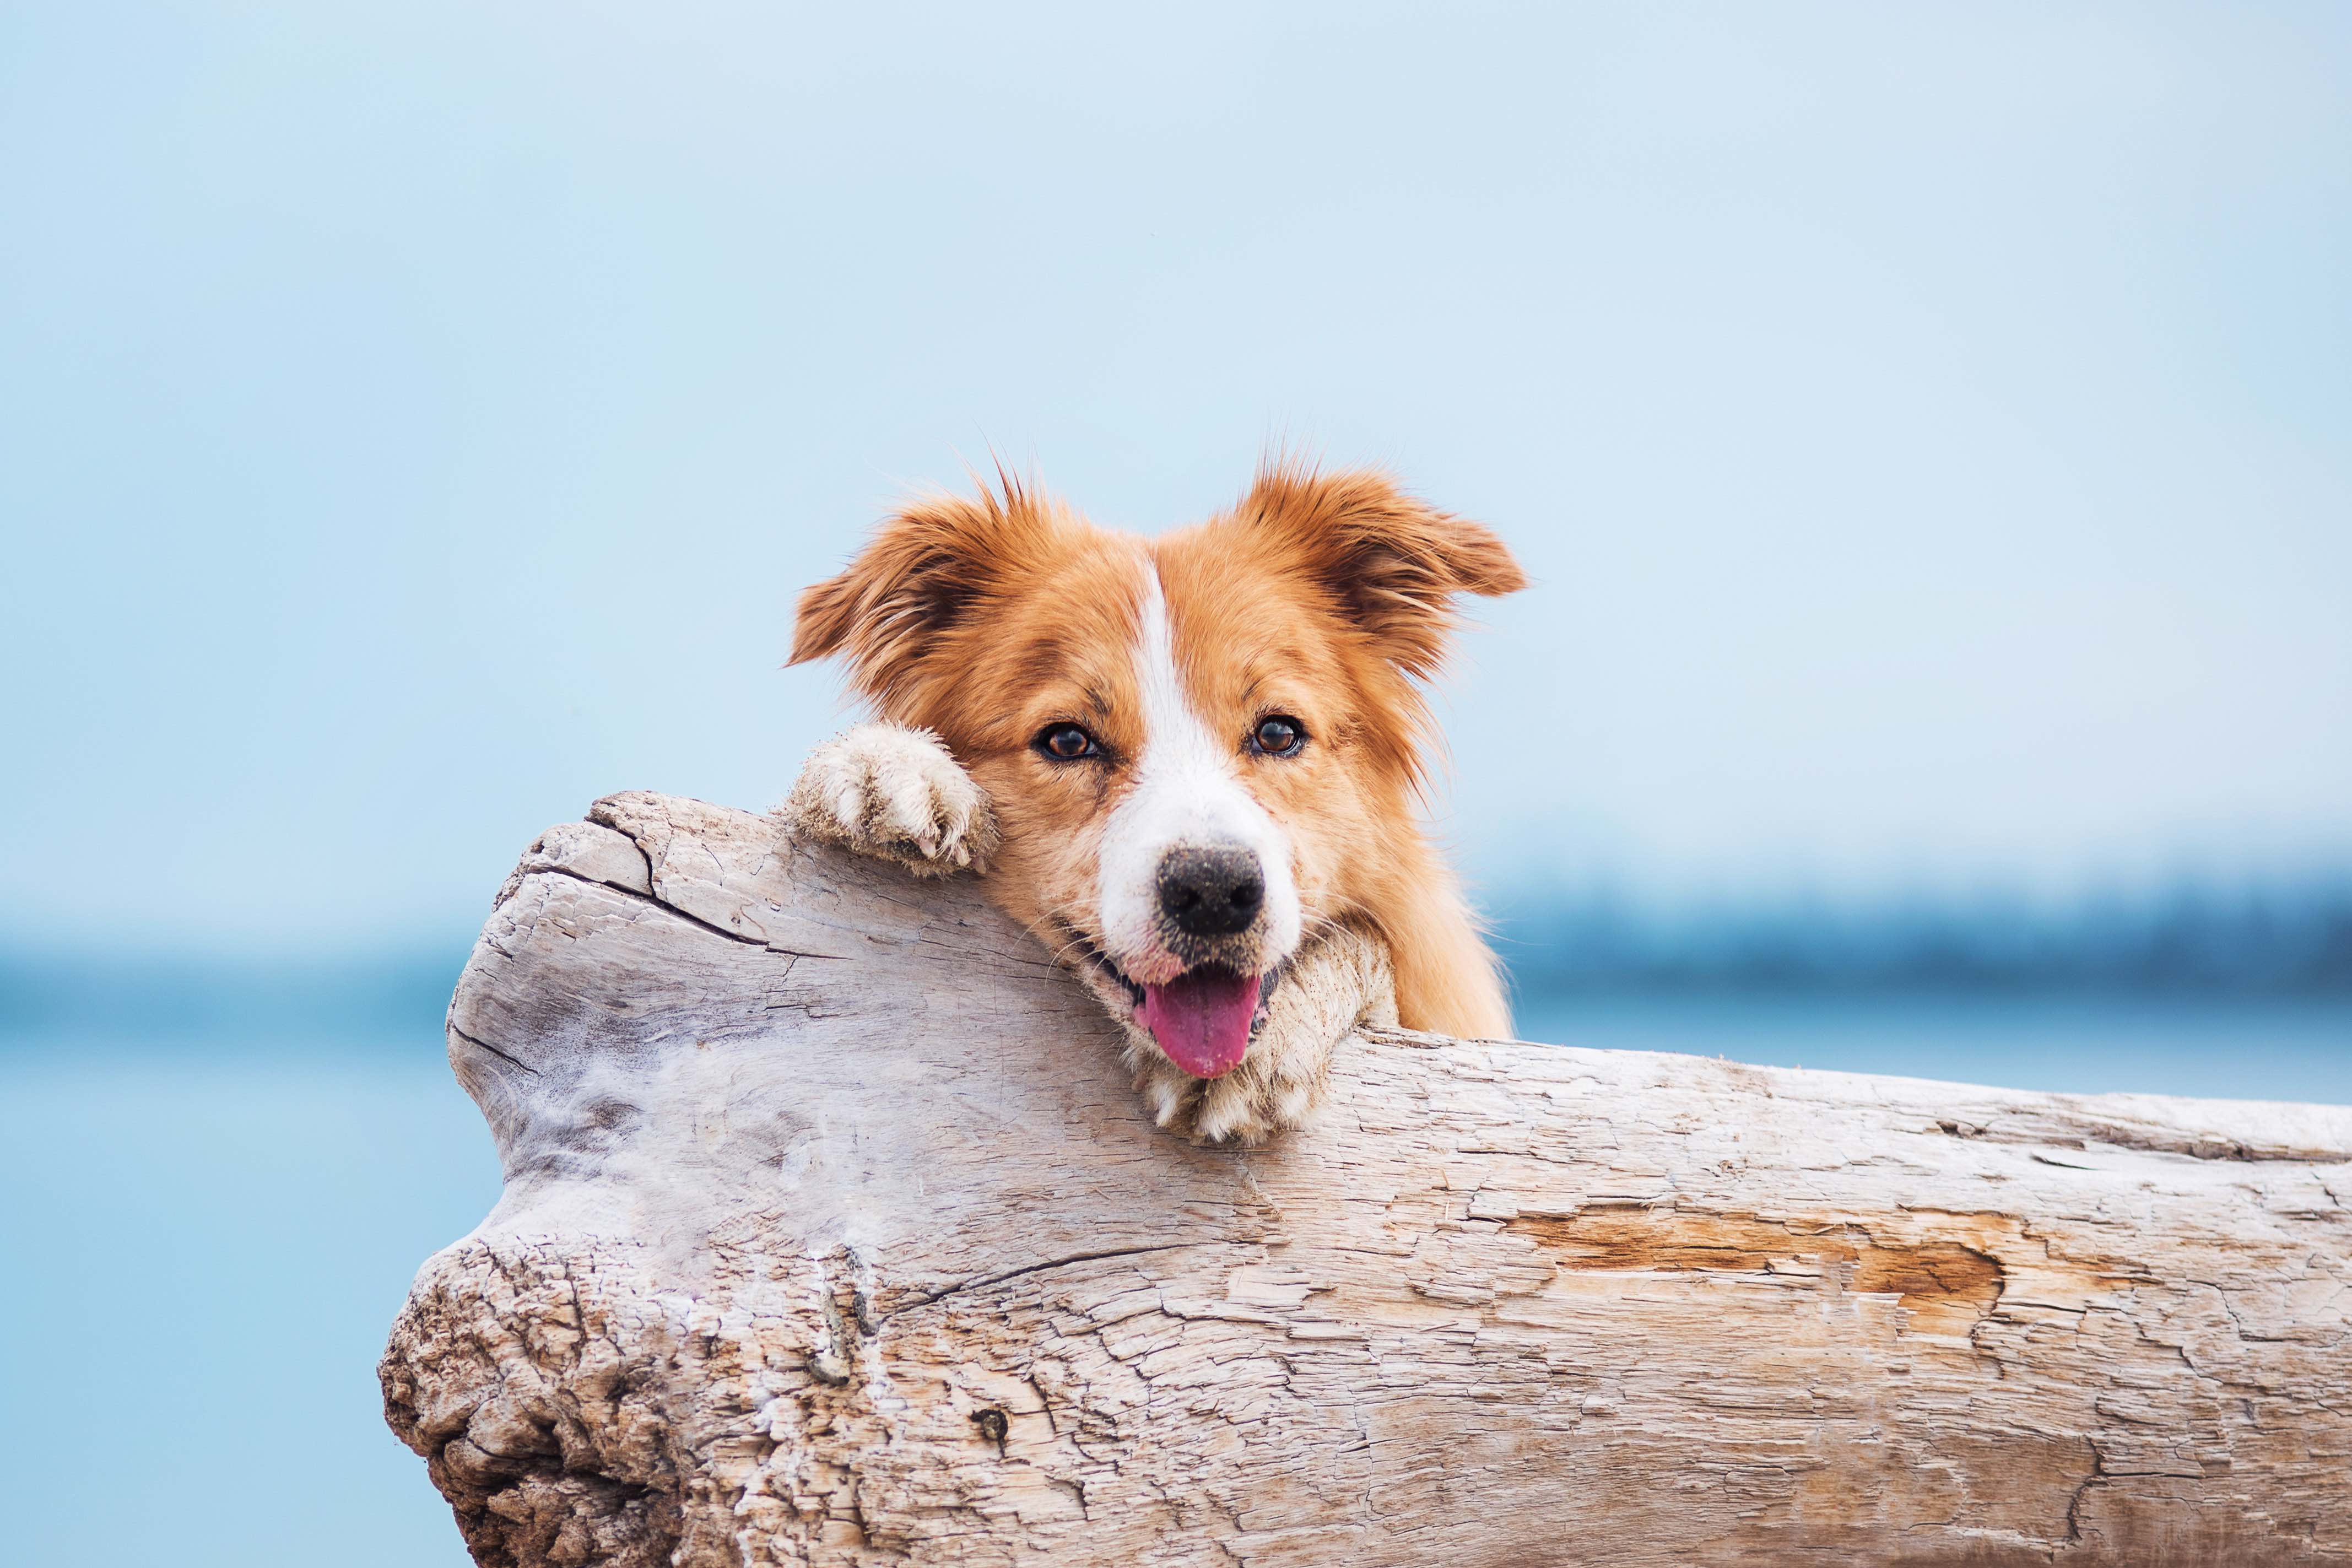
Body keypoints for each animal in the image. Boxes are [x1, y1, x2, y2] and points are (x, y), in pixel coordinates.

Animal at [781, 463, 1533, 1142]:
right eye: (1067, 740)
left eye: (1278, 732)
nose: (1214, 891)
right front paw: (889, 765)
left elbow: (1371, 951)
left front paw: (1278, 1036)